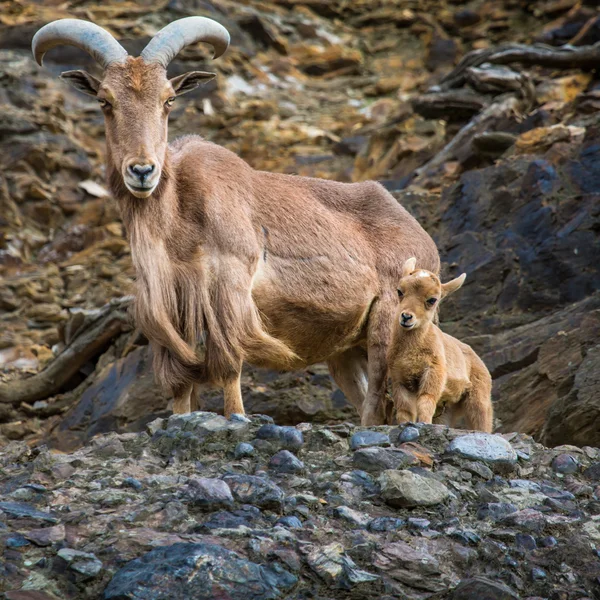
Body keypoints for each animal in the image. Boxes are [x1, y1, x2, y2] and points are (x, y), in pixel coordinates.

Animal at [32, 16, 438, 424]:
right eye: (105, 101)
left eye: (168, 100)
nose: (143, 171)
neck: (179, 217)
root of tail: (422, 239)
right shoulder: (170, 302)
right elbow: (180, 382)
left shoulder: (229, 283)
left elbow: (229, 367)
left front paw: (236, 416)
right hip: (345, 348)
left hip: (388, 324)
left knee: (378, 400)